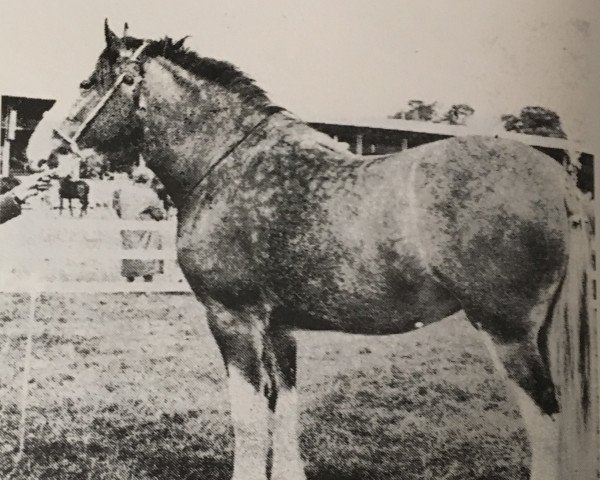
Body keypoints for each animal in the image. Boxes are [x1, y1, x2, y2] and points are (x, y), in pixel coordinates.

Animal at [27, 23, 596, 480]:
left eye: (86, 84)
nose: (38, 152)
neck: (225, 164)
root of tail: (559, 181)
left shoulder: (232, 318)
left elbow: (248, 415)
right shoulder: (280, 327)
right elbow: (285, 407)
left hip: (507, 334)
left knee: (546, 421)